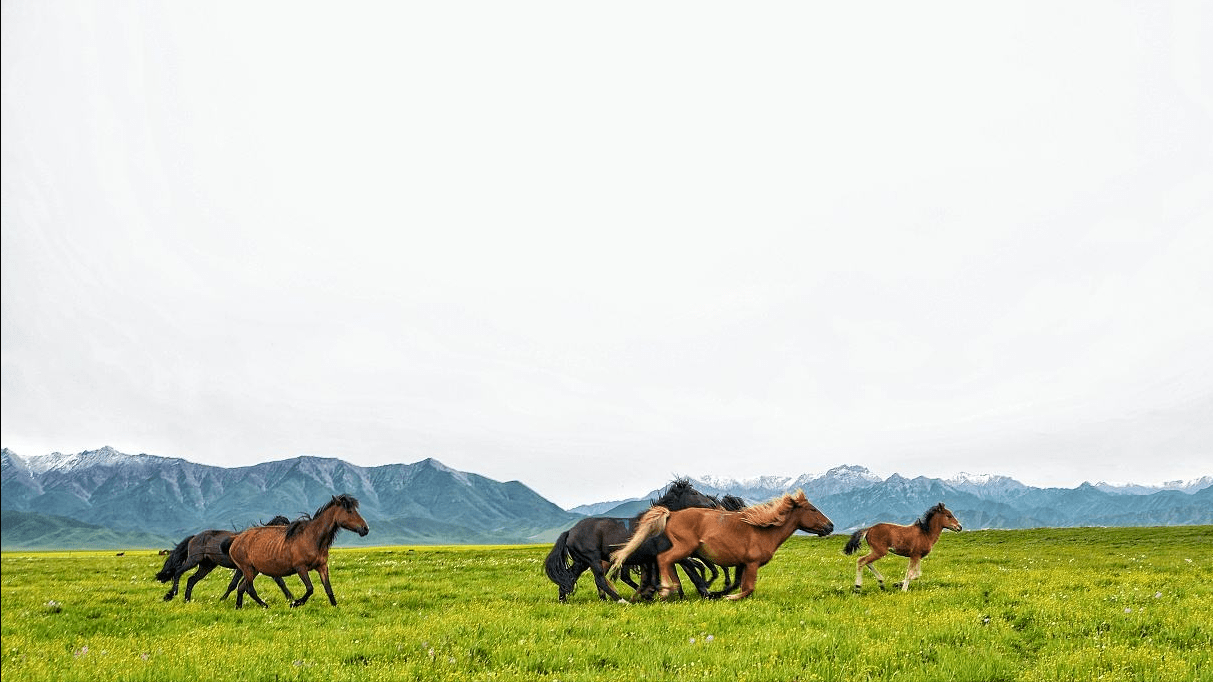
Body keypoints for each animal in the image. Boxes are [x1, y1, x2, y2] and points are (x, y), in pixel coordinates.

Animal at [156, 514, 293, 599]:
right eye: (280, 525)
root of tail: (194, 537)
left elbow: (280, 582)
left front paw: (290, 598)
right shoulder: (241, 569)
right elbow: (233, 584)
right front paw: (223, 599)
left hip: (206, 566)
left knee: (191, 580)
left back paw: (187, 599)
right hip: (193, 560)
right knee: (178, 572)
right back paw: (172, 594)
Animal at [228, 490, 368, 606]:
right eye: (349, 511)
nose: (365, 529)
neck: (312, 538)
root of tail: (236, 540)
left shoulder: (322, 566)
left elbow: (328, 588)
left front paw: (335, 607)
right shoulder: (301, 568)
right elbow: (310, 589)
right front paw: (295, 603)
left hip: (254, 569)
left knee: (241, 587)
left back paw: (239, 607)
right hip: (247, 568)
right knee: (249, 588)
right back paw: (265, 606)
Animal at [606, 490, 834, 597]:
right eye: (812, 509)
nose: (830, 526)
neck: (763, 531)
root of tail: (670, 515)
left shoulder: (742, 563)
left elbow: (737, 582)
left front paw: (718, 592)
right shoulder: (750, 563)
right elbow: (744, 587)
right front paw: (719, 594)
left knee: (667, 565)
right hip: (684, 549)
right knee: (664, 560)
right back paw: (665, 589)